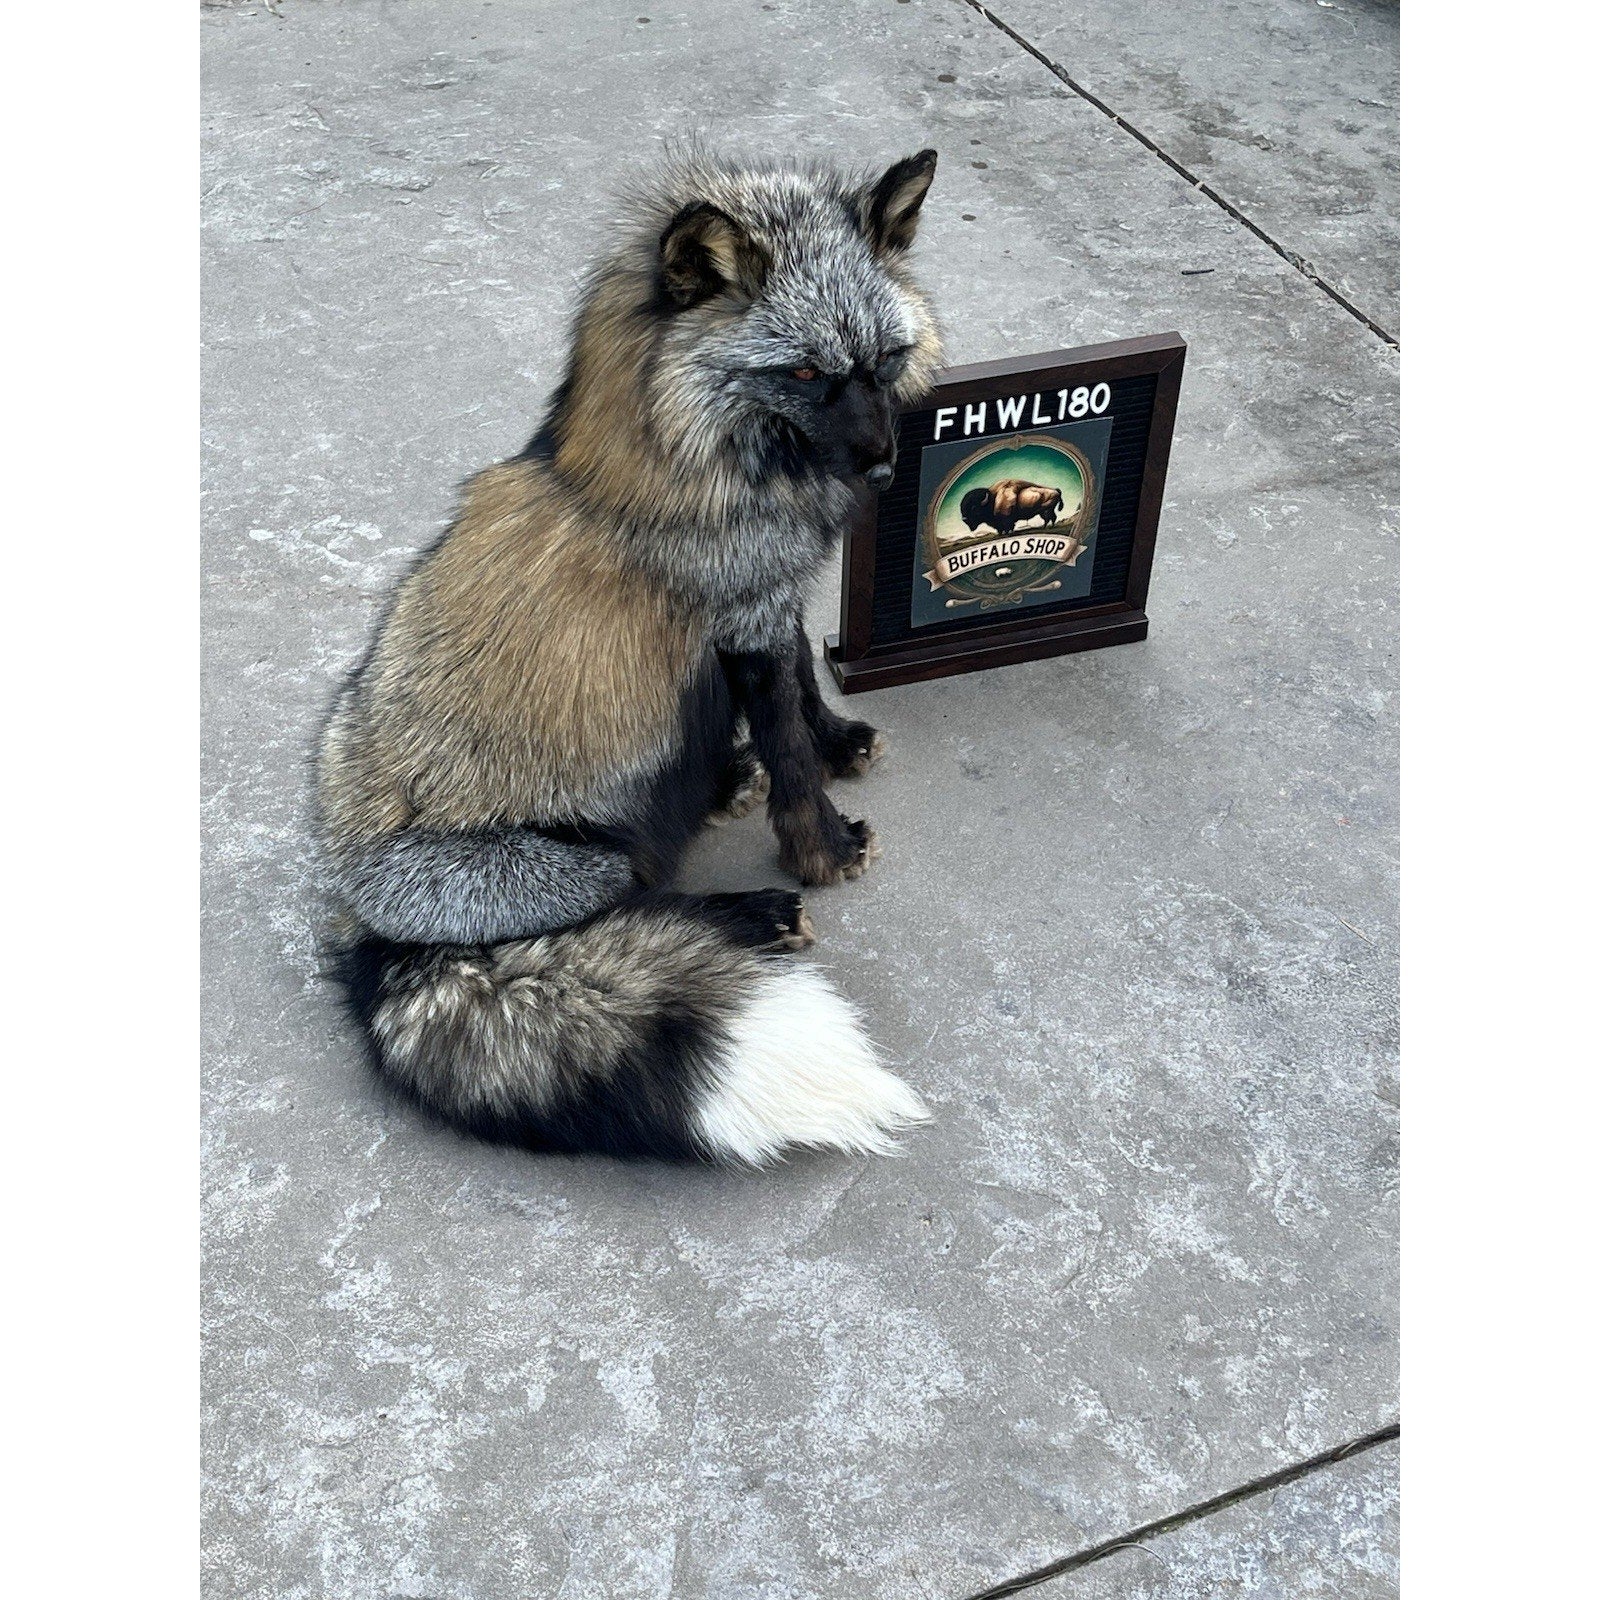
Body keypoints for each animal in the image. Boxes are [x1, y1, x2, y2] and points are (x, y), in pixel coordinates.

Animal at [317, 149, 945, 1166]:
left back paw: (723, 781)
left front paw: (840, 740)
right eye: (806, 370)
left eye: (880, 361)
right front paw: (821, 849)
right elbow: (790, 753)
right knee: (645, 899)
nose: (886, 468)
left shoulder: (768, 599)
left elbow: (805, 693)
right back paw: (753, 912)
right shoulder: (742, 618)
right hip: (592, 863)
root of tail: (362, 935)